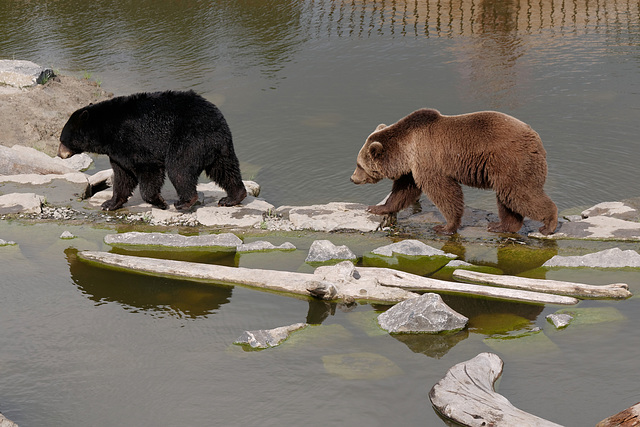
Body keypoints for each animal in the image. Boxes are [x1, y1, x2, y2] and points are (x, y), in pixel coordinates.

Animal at [57, 90, 248, 211]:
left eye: (62, 139)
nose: (59, 154)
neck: (105, 131)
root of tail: (216, 120)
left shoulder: (132, 140)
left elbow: (148, 169)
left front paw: (160, 202)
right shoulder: (117, 153)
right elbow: (122, 176)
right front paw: (110, 204)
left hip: (189, 139)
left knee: (179, 168)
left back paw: (184, 202)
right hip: (218, 146)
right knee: (224, 169)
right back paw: (232, 197)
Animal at [352, 108, 556, 236]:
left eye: (359, 164)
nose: (353, 178)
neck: (406, 148)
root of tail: (535, 138)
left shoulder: (428, 160)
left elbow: (444, 192)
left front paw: (445, 227)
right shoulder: (412, 167)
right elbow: (403, 190)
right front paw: (376, 207)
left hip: (510, 160)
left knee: (520, 192)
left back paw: (548, 225)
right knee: (507, 197)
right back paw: (501, 226)